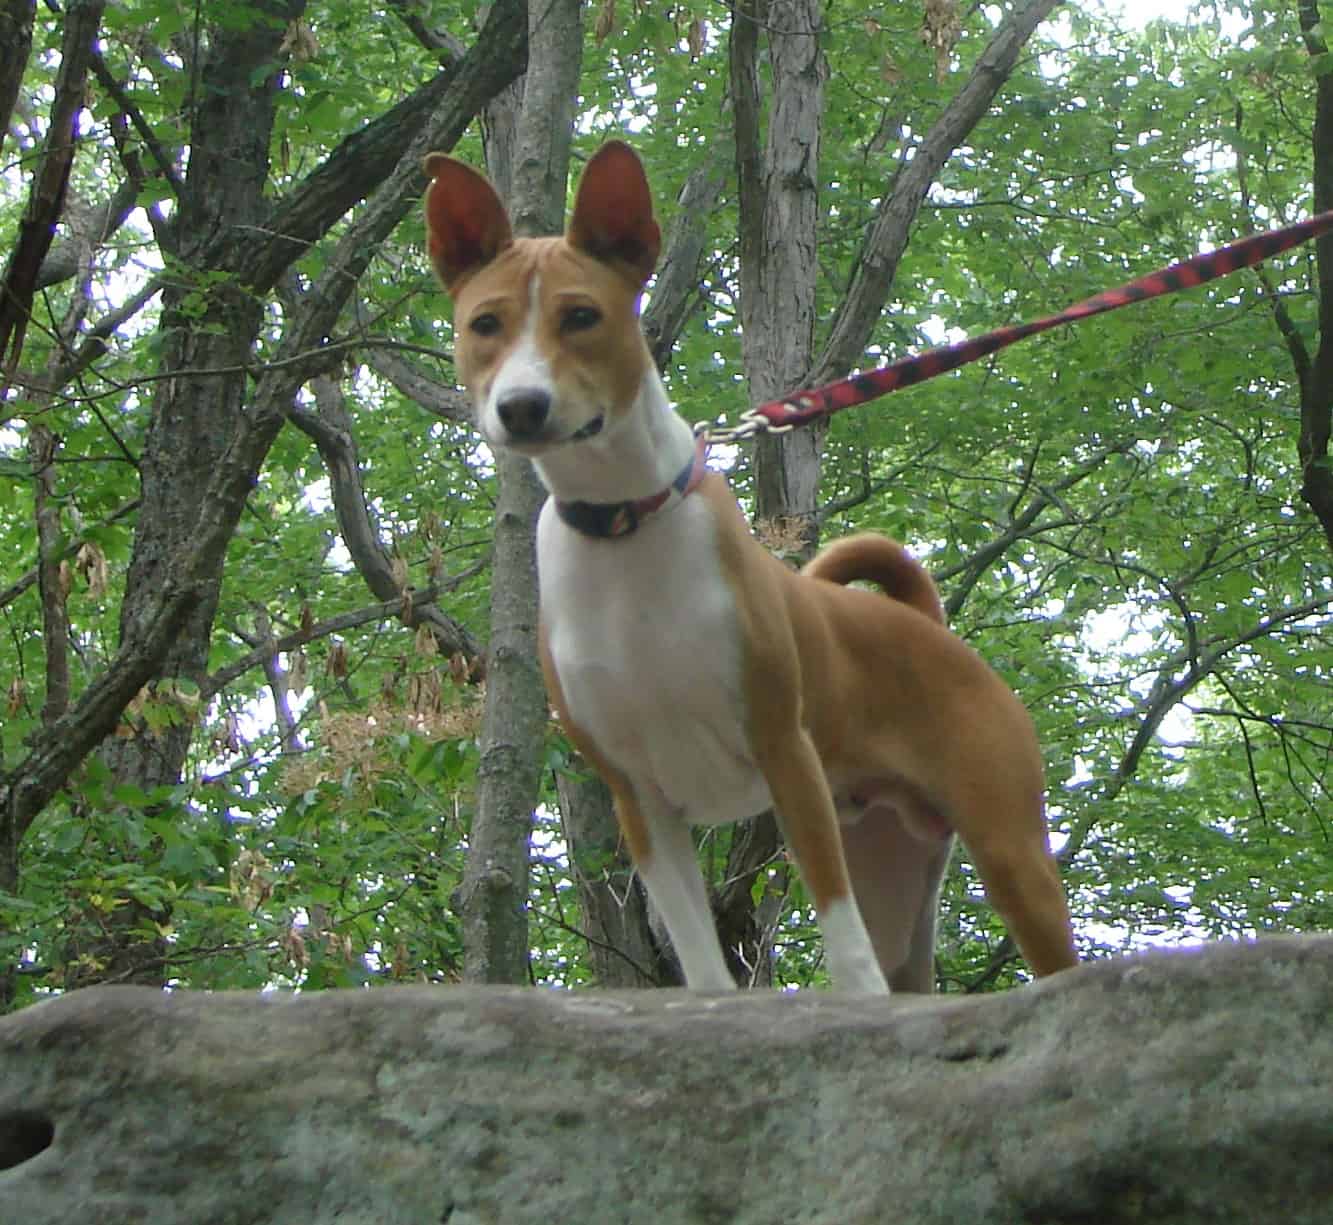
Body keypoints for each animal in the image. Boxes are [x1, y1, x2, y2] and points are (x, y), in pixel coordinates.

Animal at [426, 138, 1082, 991]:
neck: (624, 528)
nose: (522, 406)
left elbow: (840, 938)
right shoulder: (638, 797)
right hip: (891, 864)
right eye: (485, 324)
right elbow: (701, 961)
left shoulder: (785, 753)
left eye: (580, 316)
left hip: (1008, 852)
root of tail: (922, 623)